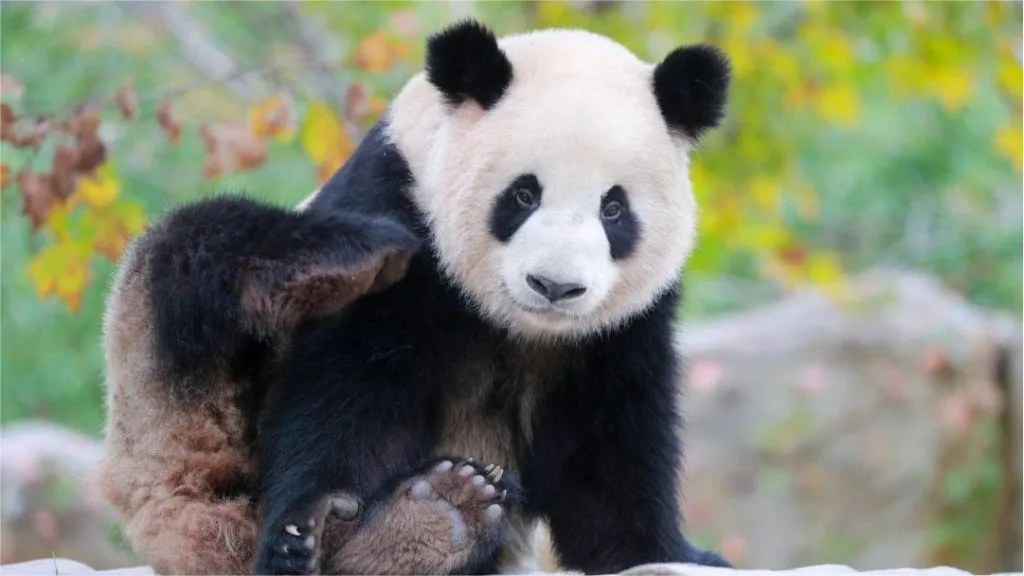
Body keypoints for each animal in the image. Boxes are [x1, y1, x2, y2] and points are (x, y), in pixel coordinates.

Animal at [97, 18, 731, 576]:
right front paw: (308, 524)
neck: (510, 321)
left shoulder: (621, 329)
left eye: (614, 208)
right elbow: (347, 394)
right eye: (523, 195)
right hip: (167, 427)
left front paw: (664, 551)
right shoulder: (398, 208)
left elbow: (611, 449)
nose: (555, 286)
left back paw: (442, 515)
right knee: (193, 253)